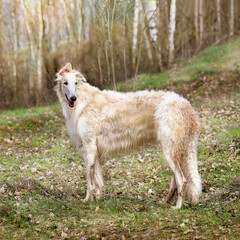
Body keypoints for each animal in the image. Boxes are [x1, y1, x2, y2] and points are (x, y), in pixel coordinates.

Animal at [54, 62, 201, 209]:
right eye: (65, 83)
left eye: (76, 83)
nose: (73, 98)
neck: (82, 101)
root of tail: (186, 104)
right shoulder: (95, 151)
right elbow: (98, 180)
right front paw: (98, 198)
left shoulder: (89, 147)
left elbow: (90, 180)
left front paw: (87, 200)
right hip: (175, 150)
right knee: (175, 180)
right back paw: (166, 201)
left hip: (169, 151)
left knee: (182, 180)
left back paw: (177, 207)